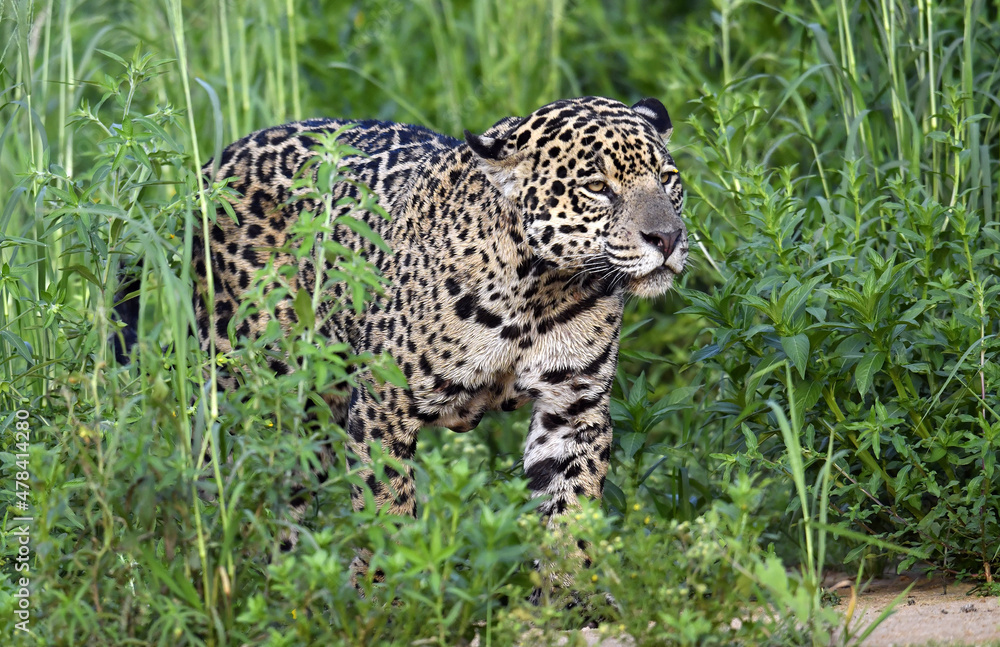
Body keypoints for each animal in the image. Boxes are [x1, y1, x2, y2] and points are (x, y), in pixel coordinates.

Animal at [186, 95, 687, 588]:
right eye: (597, 186)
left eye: (667, 178)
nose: (667, 238)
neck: (539, 293)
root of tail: (221, 158)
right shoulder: (383, 408)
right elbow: (386, 509)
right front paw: (386, 594)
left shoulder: (574, 409)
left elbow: (571, 517)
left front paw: (569, 597)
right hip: (253, 391)